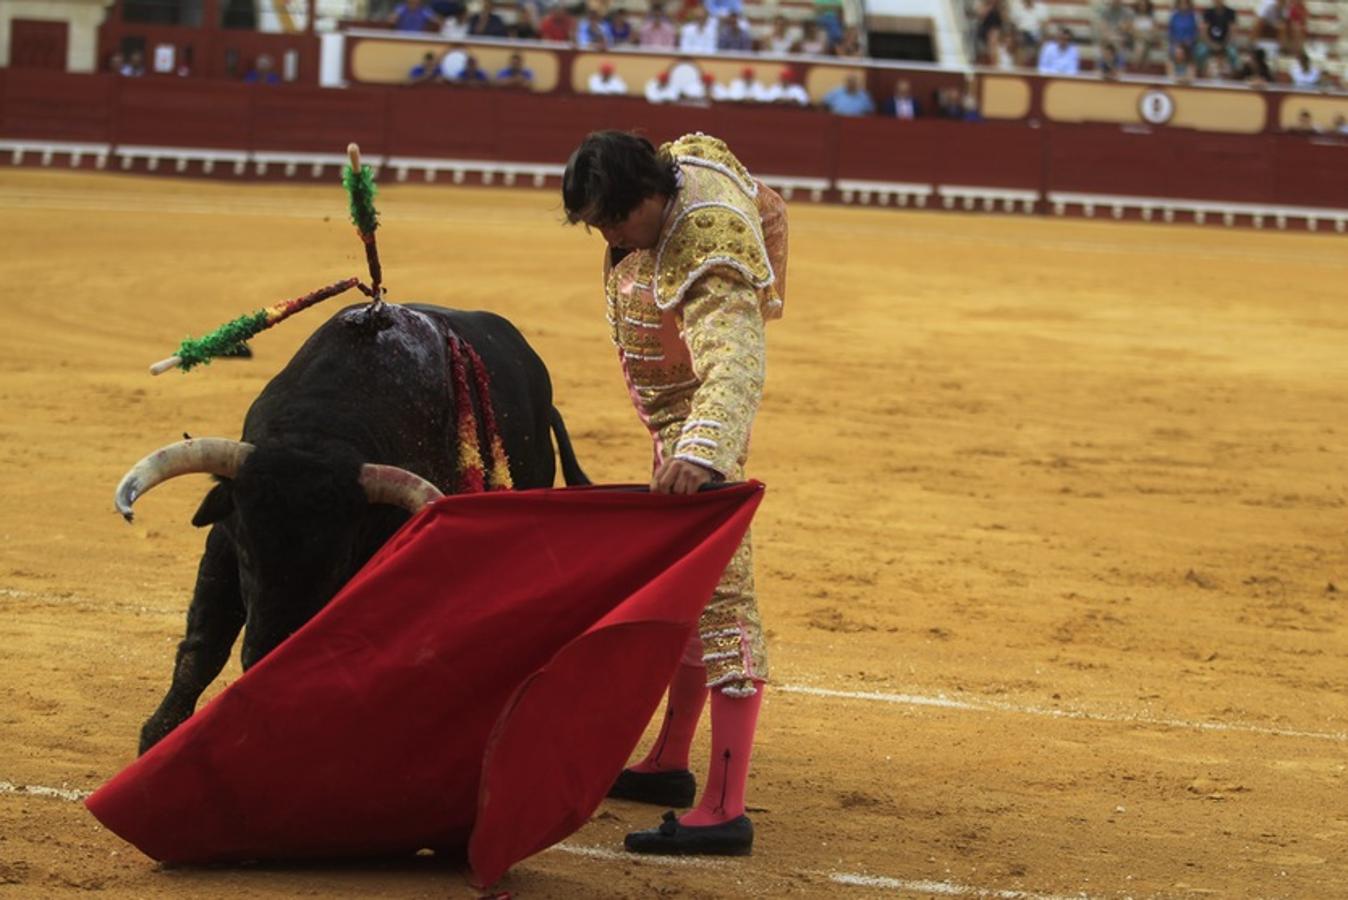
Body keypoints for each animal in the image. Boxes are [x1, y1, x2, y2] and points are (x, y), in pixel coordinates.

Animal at [122, 301, 590, 754]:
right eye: (248, 558)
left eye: (336, 567)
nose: (266, 652)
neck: (320, 431)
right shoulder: (223, 540)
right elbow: (204, 644)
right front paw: (158, 737)